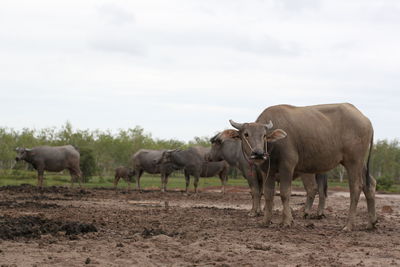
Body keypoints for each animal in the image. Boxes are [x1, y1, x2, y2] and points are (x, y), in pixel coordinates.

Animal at [230, 103, 376, 231]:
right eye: (246, 134)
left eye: (264, 135)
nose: (258, 153)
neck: (274, 145)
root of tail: (366, 120)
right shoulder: (267, 171)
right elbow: (268, 194)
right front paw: (265, 221)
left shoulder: (287, 166)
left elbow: (284, 193)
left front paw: (287, 221)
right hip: (361, 163)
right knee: (370, 184)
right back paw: (371, 223)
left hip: (353, 162)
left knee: (355, 187)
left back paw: (348, 225)